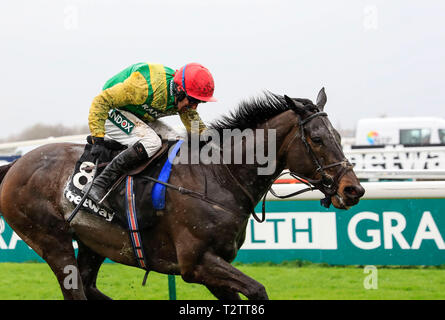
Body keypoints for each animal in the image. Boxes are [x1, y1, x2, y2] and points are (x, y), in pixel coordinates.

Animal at [0, 89, 364, 298]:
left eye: (337, 136)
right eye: (317, 139)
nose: (354, 189)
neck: (219, 176)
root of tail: (16, 164)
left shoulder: (215, 267)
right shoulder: (197, 264)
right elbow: (259, 291)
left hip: (93, 242)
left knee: (88, 287)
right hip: (52, 240)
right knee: (75, 289)